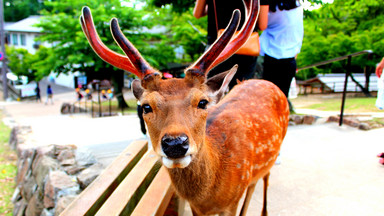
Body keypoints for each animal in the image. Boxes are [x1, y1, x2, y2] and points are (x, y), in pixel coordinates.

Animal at [79, 0, 288, 214]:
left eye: (202, 102)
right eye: (146, 107)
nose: (175, 144)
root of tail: (265, 81)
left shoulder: (232, 201)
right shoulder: (196, 207)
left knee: (264, 179)